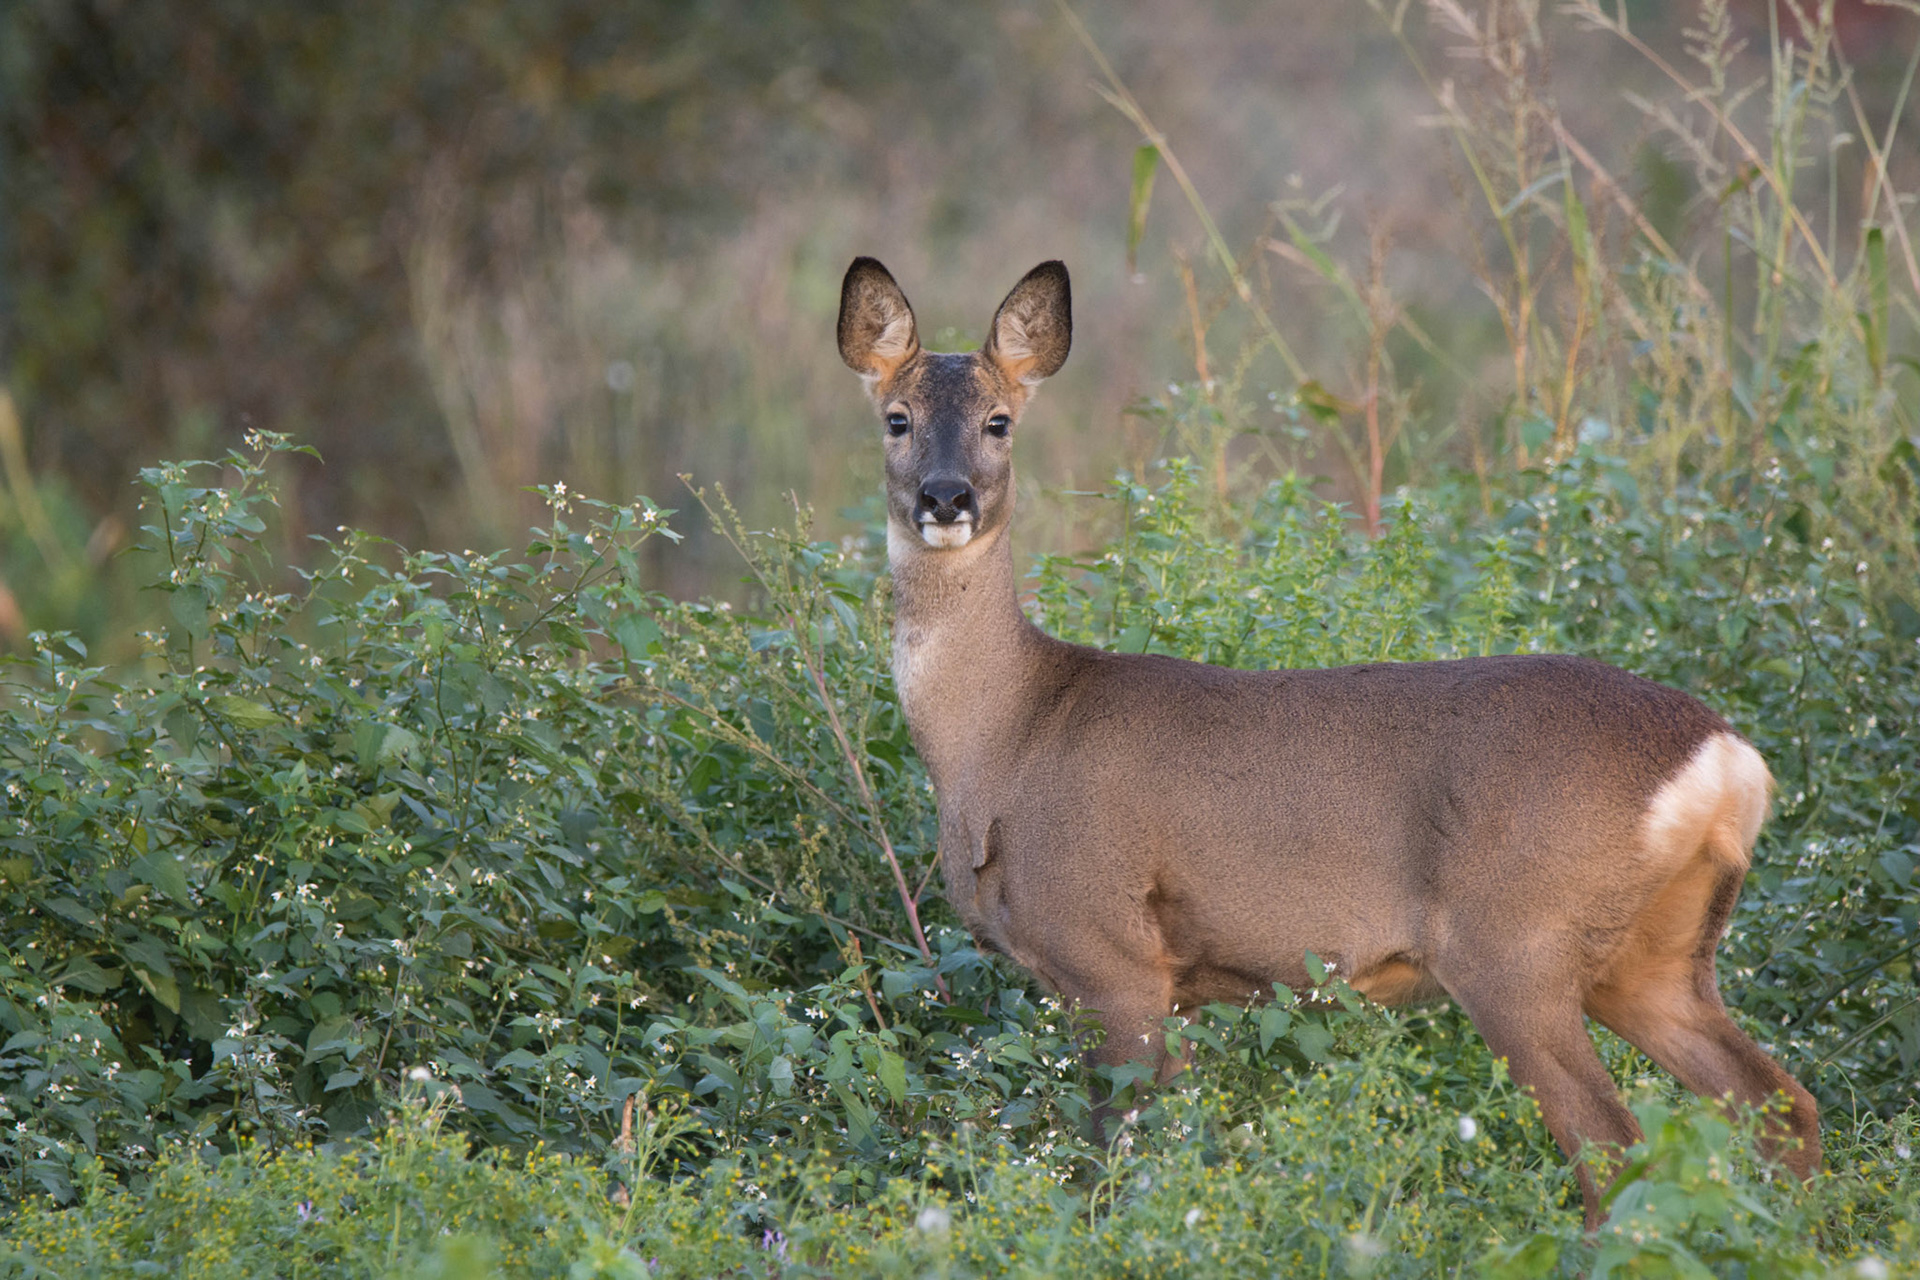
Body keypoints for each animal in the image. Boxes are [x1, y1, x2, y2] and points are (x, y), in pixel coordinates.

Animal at [835, 255, 1820, 1227]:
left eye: (999, 421)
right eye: (897, 418)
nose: (946, 497)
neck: (1007, 736)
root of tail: (1726, 759)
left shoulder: (1112, 956)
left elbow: (1119, 1166)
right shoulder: (1173, 985)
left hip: (1517, 944)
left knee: (1614, 1149)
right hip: (1655, 956)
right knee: (1781, 1104)